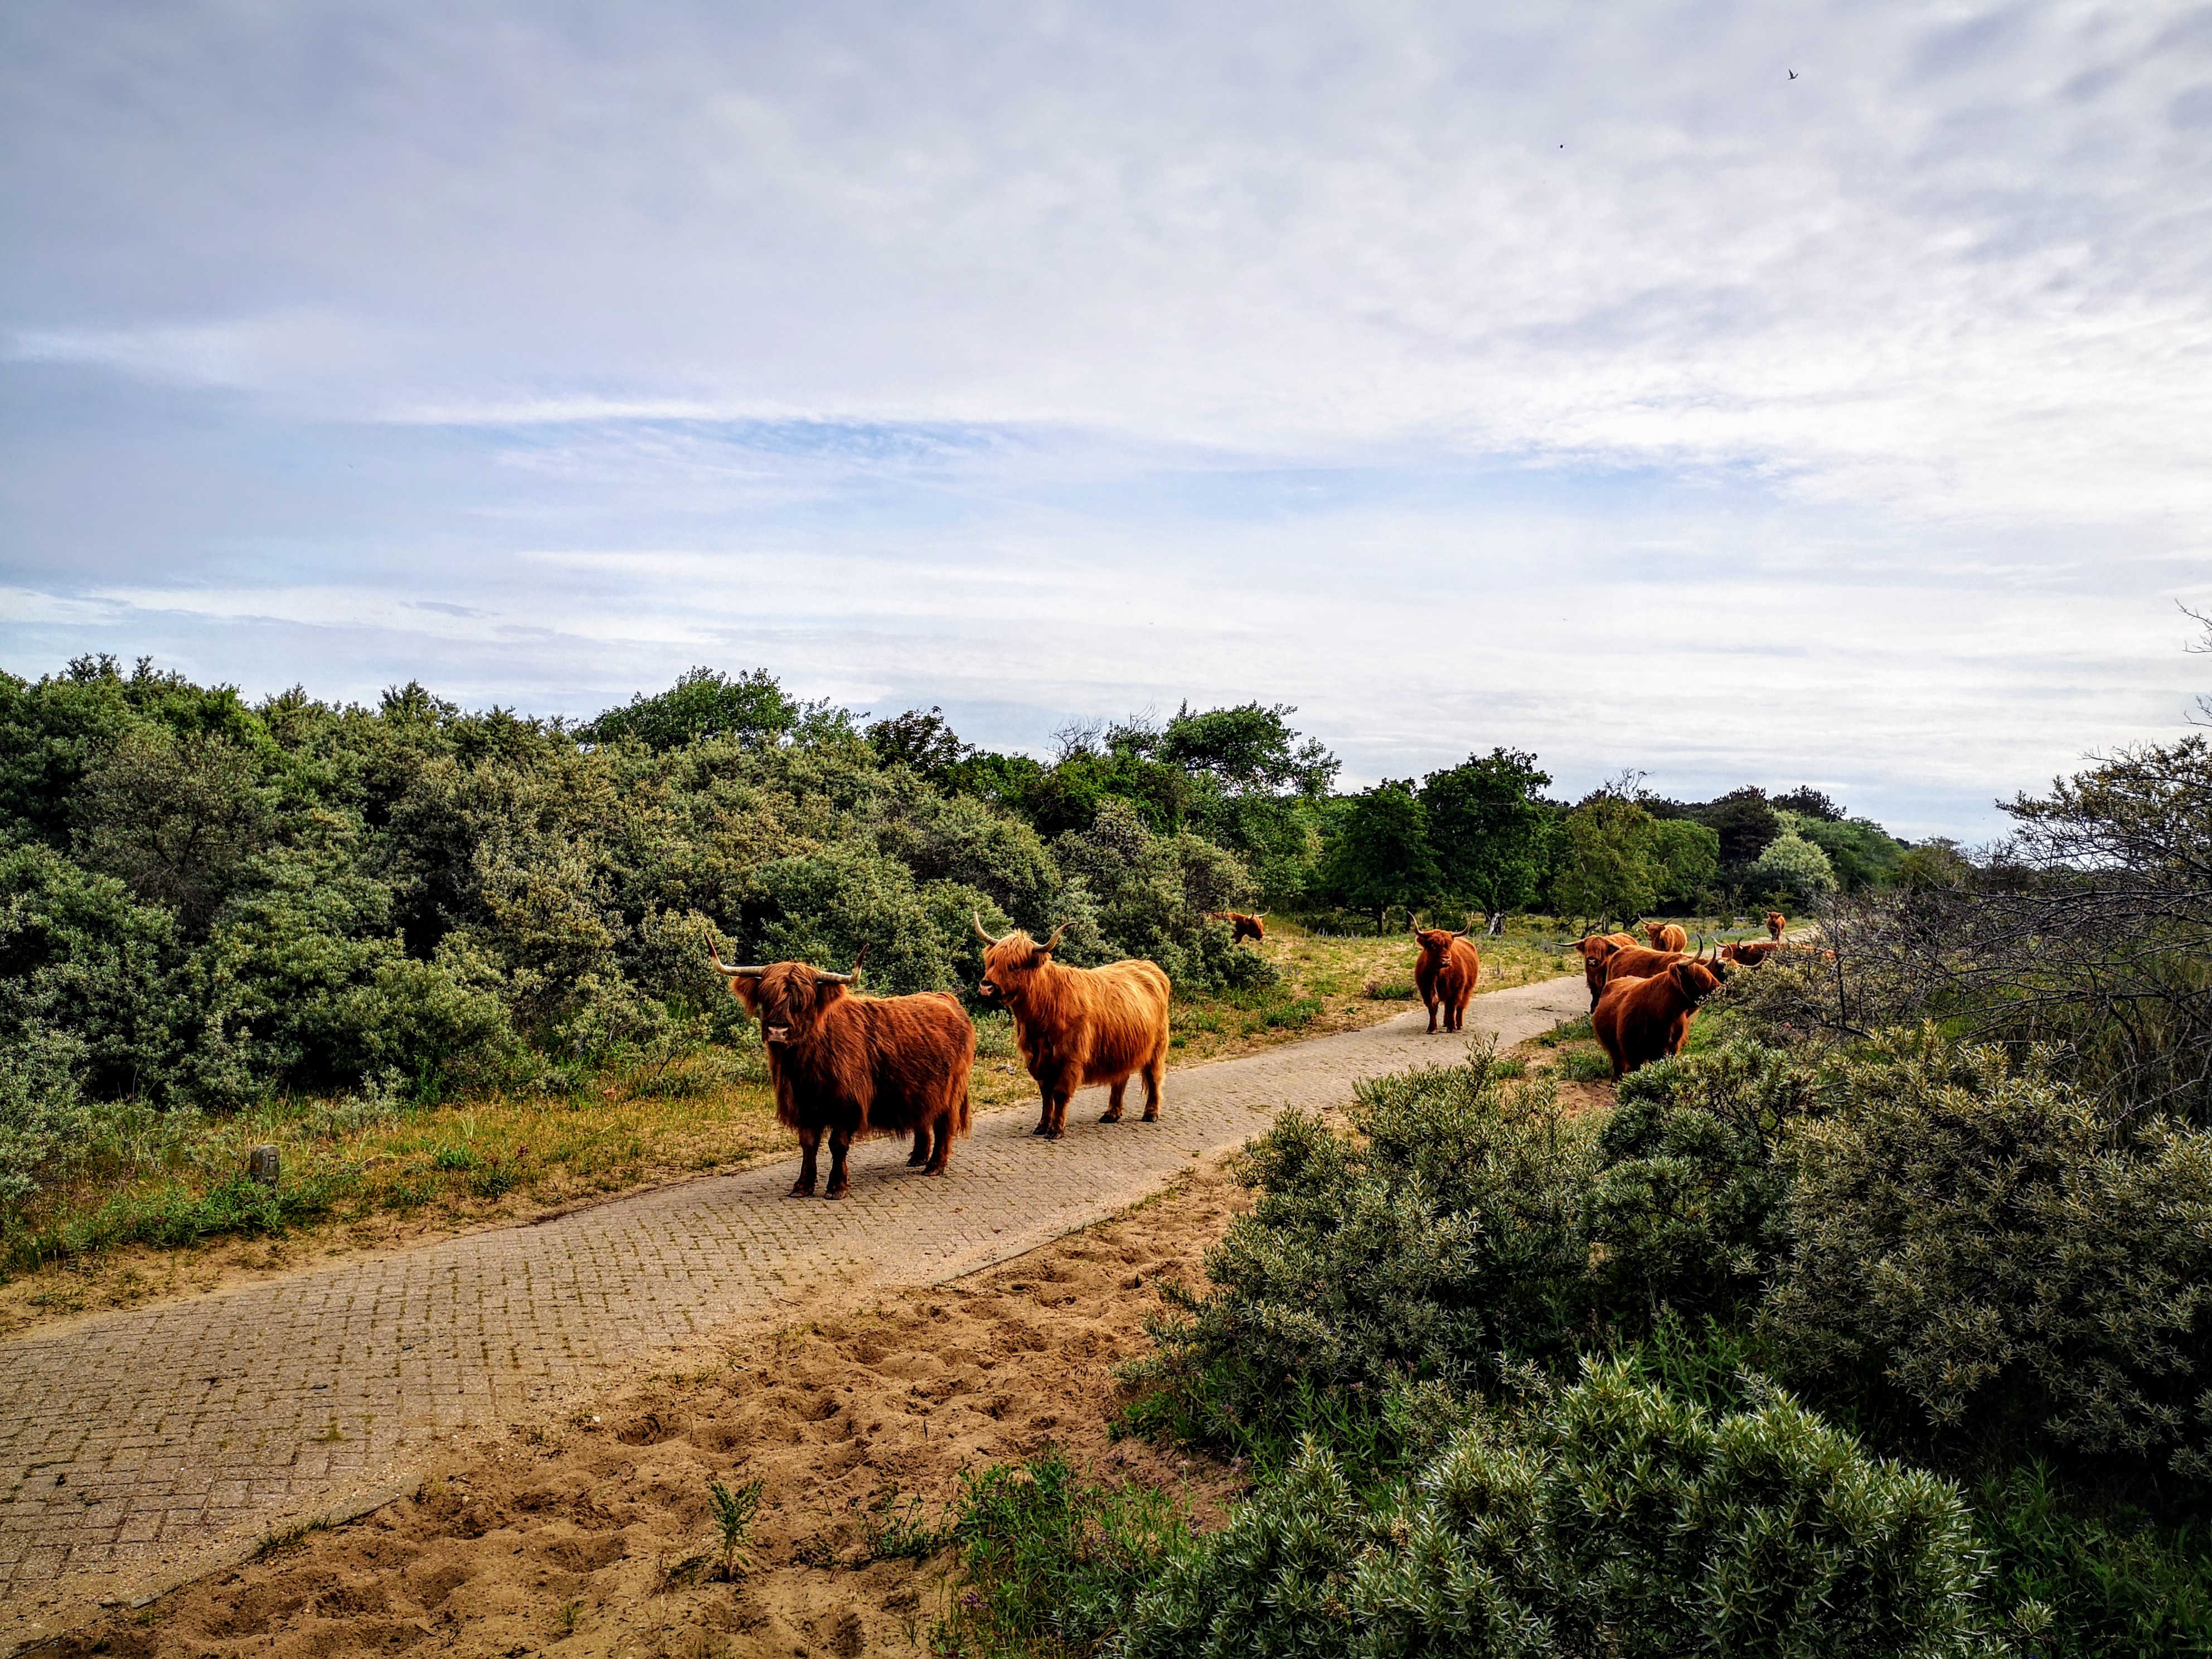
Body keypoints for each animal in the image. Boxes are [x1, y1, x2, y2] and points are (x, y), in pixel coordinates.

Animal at [716, 955, 977, 1203]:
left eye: (803, 1001)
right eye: (766, 997)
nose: (777, 1031)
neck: (805, 1067)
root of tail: (944, 997)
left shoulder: (847, 1105)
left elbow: (837, 1144)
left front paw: (836, 1187)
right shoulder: (804, 1106)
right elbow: (808, 1144)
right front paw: (802, 1186)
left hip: (951, 1089)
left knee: (944, 1123)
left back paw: (935, 1166)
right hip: (921, 1089)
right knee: (924, 1117)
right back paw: (918, 1158)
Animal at [973, 924, 1176, 1141]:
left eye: (1015, 965)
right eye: (992, 961)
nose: (986, 986)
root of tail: (1149, 966)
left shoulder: (1070, 1058)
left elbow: (1060, 1093)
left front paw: (1056, 1129)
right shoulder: (1038, 1058)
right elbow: (1046, 1094)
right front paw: (1042, 1126)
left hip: (1157, 1047)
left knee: (1154, 1077)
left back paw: (1151, 1114)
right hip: (1121, 1048)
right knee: (1120, 1079)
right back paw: (1111, 1114)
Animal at [1406, 924, 1477, 1039]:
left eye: (1448, 946)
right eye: (1433, 945)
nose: (1446, 960)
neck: (1438, 974)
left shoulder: (1456, 991)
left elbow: (1452, 1007)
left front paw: (1452, 1028)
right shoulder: (1425, 991)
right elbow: (1432, 1009)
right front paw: (1432, 1028)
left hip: (1467, 990)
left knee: (1460, 1007)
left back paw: (1459, 1026)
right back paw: (1446, 1023)